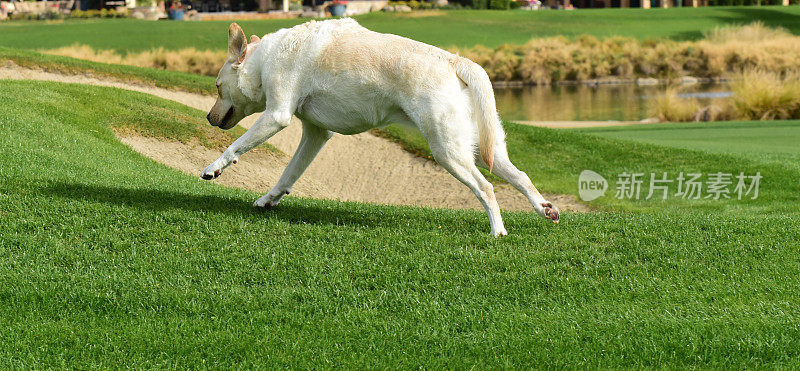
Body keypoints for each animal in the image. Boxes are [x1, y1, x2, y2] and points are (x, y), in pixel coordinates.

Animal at [203, 18, 560, 237]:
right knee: (519, 176)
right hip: (485, 147)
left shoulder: (276, 115)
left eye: (218, 87)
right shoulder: (316, 134)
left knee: (485, 188)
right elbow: (289, 174)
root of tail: (457, 61)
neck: (264, 58)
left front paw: (213, 168)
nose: (208, 118)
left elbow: (236, 146)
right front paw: (269, 199)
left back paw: (497, 230)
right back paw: (545, 209)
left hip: (448, 152)